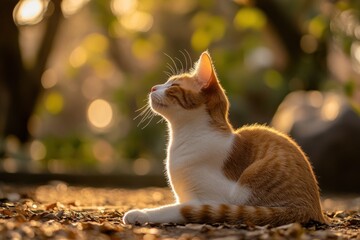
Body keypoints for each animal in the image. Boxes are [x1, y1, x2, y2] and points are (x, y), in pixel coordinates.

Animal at [123, 51, 326, 227]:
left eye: (173, 86)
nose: (153, 87)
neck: (184, 137)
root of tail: (314, 209)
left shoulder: (209, 200)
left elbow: (176, 209)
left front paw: (139, 214)